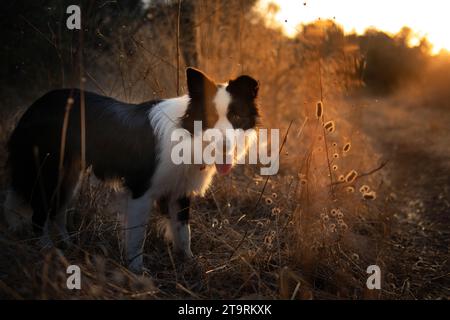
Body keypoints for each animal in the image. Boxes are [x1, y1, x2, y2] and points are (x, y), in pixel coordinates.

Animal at [3, 68, 260, 272]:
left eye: (236, 116)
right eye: (210, 117)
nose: (225, 146)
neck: (187, 134)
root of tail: (35, 105)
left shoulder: (179, 192)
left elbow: (183, 233)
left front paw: (189, 262)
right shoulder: (141, 191)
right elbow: (137, 237)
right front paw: (137, 270)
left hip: (70, 174)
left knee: (58, 211)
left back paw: (67, 246)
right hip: (49, 172)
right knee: (39, 215)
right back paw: (48, 251)